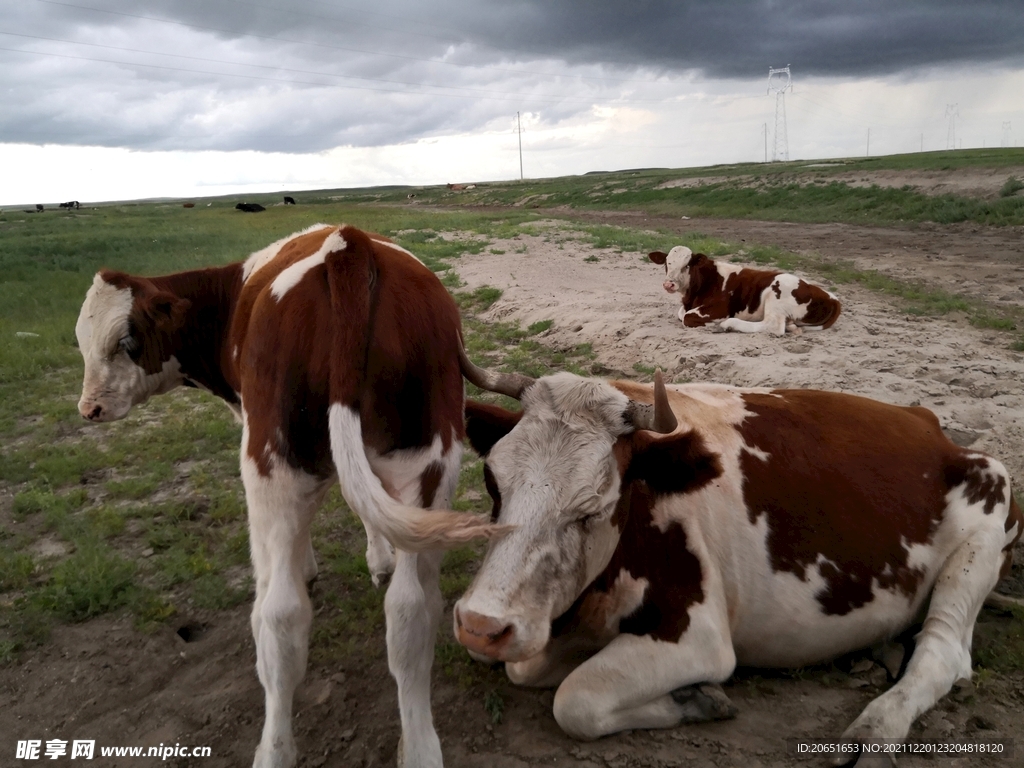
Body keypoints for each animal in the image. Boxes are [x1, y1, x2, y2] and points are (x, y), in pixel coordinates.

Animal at [73, 222, 503, 768]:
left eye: (125, 341)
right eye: (80, 343)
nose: (89, 408)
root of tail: (349, 244)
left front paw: (311, 565)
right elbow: (369, 510)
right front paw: (379, 560)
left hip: (270, 463)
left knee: (280, 615)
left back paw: (274, 747)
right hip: (431, 463)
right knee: (412, 610)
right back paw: (420, 746)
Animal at [458, 366, 1024, 765]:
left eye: (593, 508)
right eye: (492, 483)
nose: (480, 624)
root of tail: (929, 426)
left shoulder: (698, 638)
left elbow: (576, 700)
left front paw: (701, 699)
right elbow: (519, 665)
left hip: (979, 543)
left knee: (943, 653)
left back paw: (875, 731)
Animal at [647, 243, 839, 333]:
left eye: (687, 265)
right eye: (666, 263)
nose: (669, 284)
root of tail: (829, 295)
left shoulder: (721, 308)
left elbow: (687, 317)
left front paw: (713, 323)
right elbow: (681, 313)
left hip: (777, 294)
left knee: (773, 326)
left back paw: (728, 325)